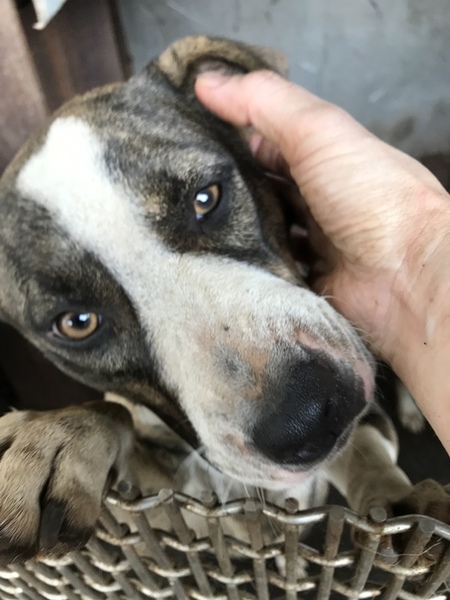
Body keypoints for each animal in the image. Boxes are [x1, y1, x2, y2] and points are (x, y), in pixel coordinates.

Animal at [0, 36, 448, 564]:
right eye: (77, 322)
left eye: (205, 198)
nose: (307, 416)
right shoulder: (172, 506)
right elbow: (116, 415)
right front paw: (50, 438)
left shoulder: (364, 424)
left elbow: (367, 457)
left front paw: (399, 510)